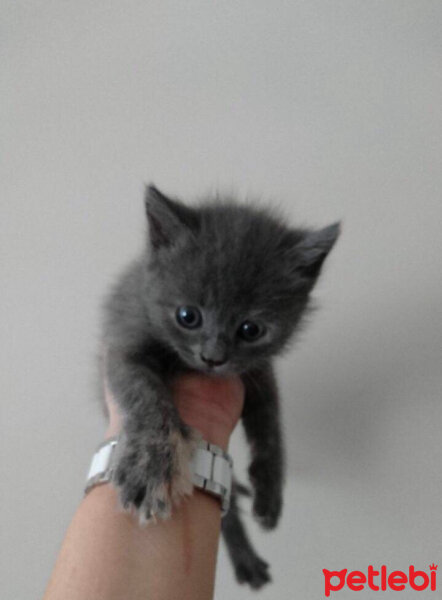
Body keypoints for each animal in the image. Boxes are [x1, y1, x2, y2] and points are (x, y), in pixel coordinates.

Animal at [102, 185, 340, 588]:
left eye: (251, 329)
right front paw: (152, 464)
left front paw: (270, 488)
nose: (213, 357)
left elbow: (270, 423)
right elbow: (145, 396)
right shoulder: (123, 345)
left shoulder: (256, 372)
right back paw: (246, 560)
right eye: (187, 316)